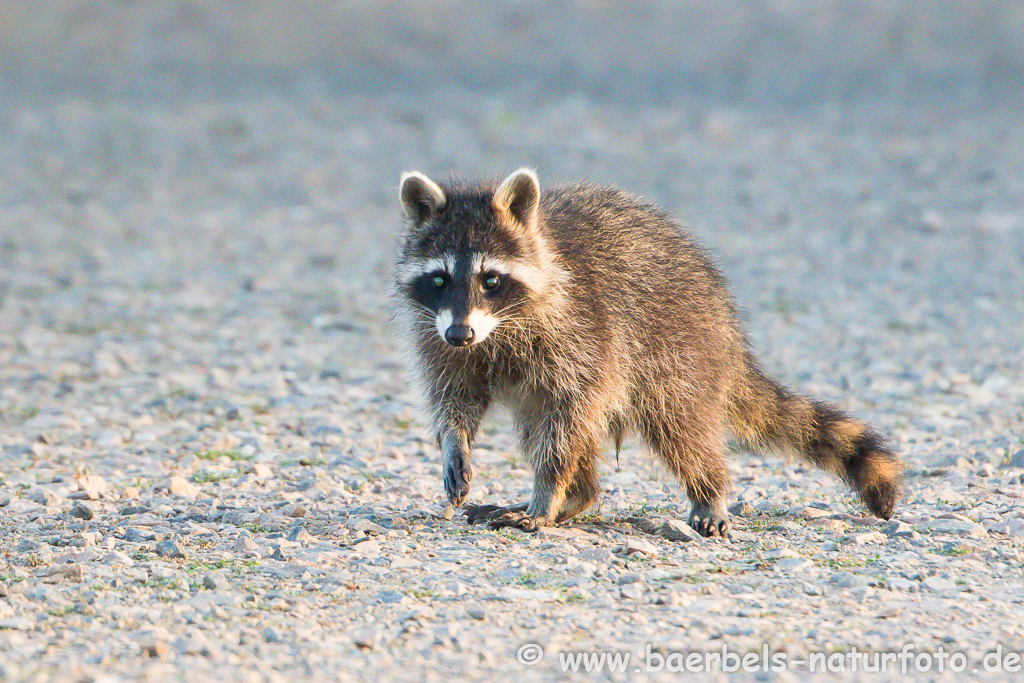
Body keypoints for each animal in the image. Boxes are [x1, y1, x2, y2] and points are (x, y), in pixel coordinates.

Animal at [387, 167, 901, 536]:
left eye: (491, 280)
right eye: (439, 279)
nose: (461, 334)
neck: (496, 331)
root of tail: (728, 327)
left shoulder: (581, 335)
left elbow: (568, 420)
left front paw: (547, 492)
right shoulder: (438, 336)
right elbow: (455, 397)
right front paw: (454, 443)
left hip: (675, 347)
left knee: (676, 425)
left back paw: (703, 490)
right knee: (541, 425)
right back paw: (580, 494)